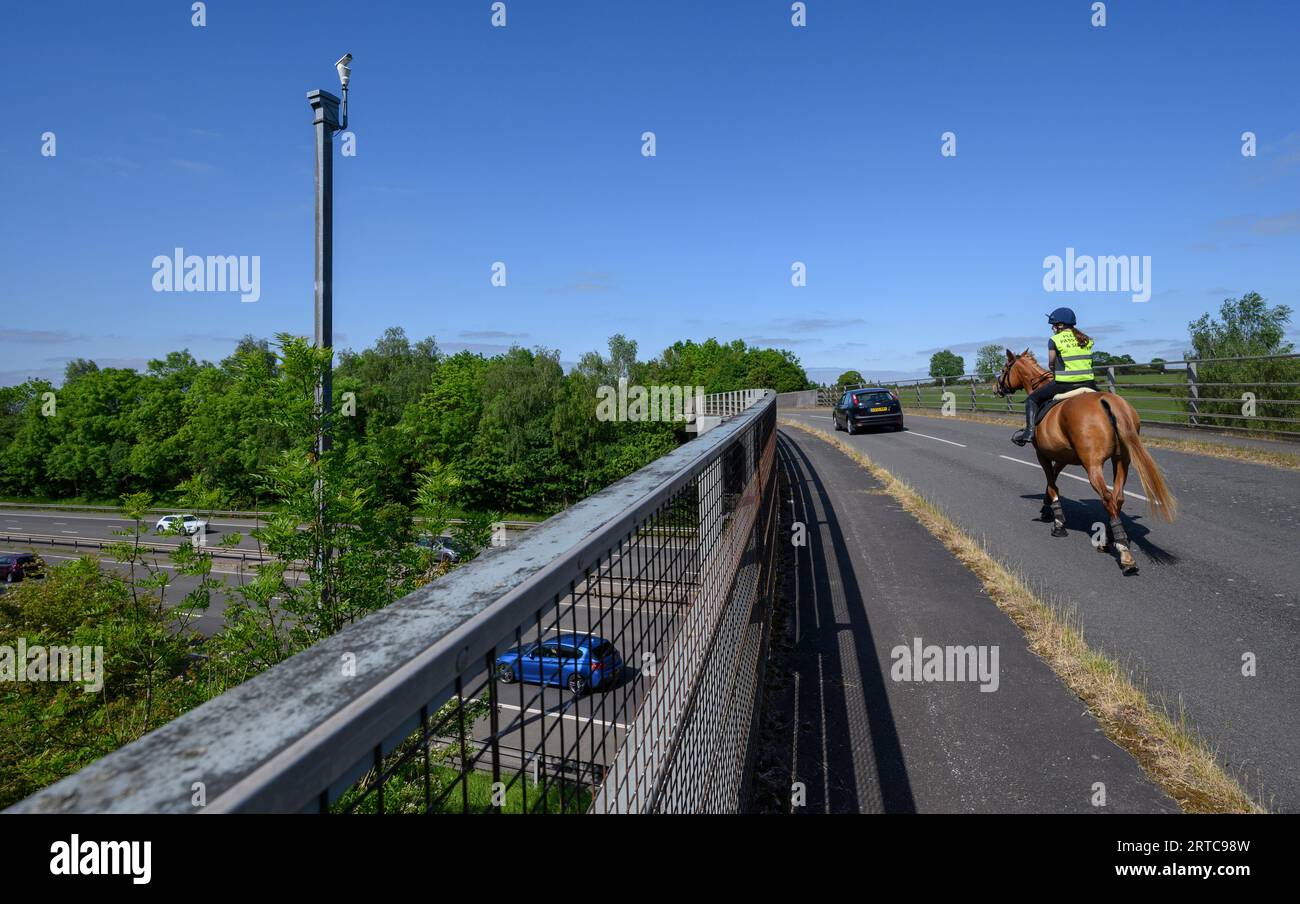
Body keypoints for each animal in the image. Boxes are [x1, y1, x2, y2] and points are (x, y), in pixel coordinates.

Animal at [993, 345, 1180, 572]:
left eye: (1005, 368)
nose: (996, 387)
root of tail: (1107, 400)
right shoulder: (1063, 456)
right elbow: (1052, 482)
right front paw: (1047, 509)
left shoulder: (1043, 455)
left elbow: (1052, 484)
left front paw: (1058, 523)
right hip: (1121, 461)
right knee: (1117, 497)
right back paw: (1110, 540)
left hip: (1093, 465)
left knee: (1107, 498)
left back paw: (1123, 552)